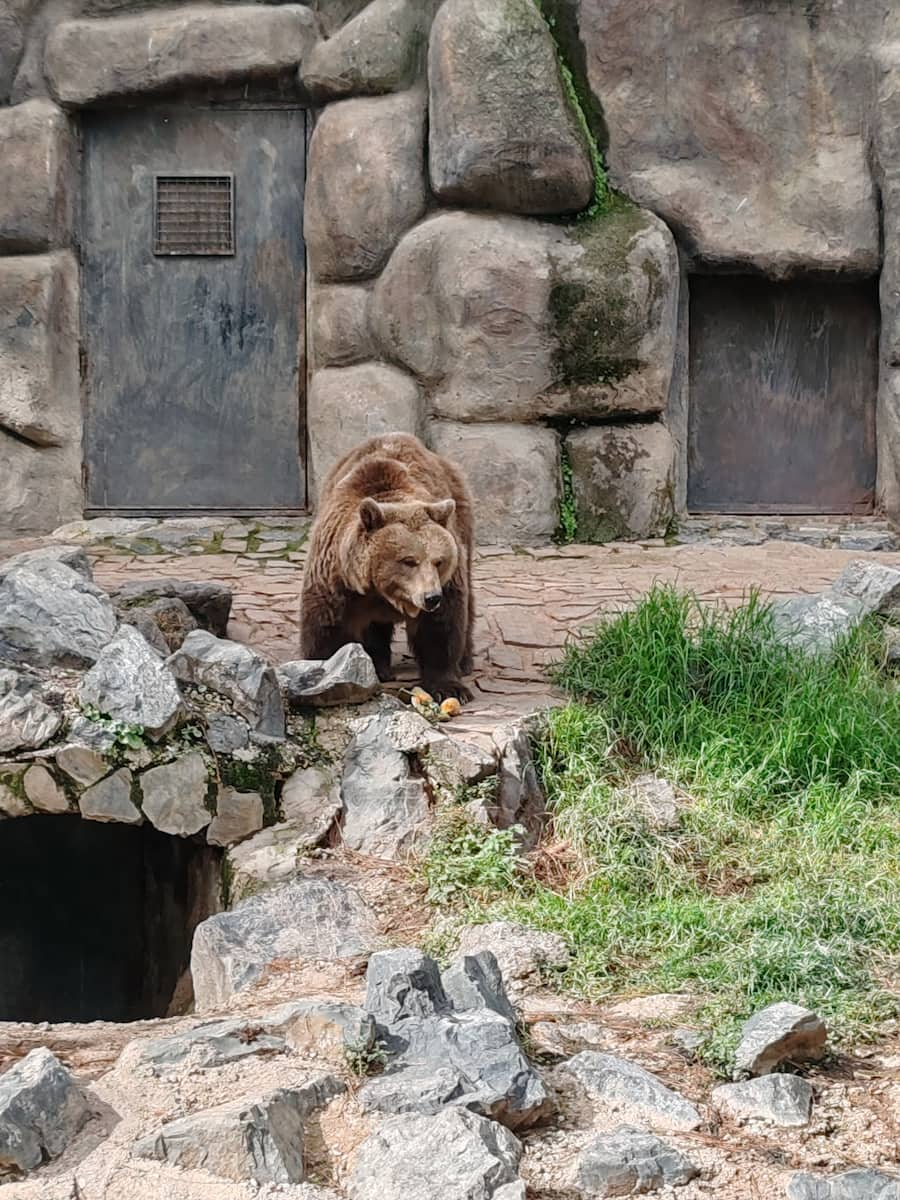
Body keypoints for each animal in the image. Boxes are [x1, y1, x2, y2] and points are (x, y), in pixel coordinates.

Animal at [300, 432, 475, 700]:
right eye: (409, 560)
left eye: (439, 561)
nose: (431, 597)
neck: (382, 590)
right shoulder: (336, 579)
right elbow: (327, 628)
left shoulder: (445, 582)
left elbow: (439, 628)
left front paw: (449, 688)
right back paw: (378, 664)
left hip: (461, 516)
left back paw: (464, 661)